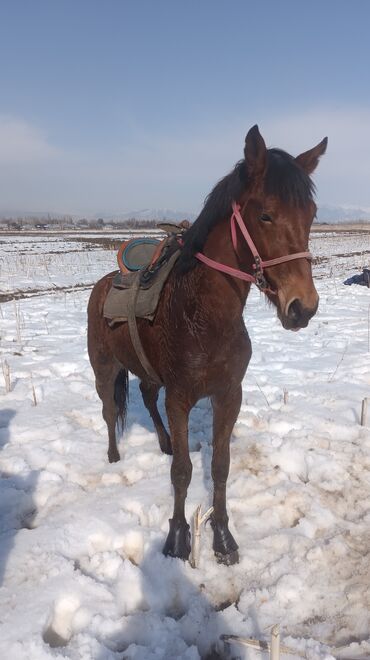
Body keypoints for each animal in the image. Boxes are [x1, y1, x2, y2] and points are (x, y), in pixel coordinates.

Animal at [88, 126, 328, 564]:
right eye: (264, 214)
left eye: (312, 215)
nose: (302, 307)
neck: (205, 317)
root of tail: (102, 285)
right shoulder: (180, 397)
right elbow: (182, 472)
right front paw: (177, 538)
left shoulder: (228, 394)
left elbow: (220, 466)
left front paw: (223, 537)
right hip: (104, 367)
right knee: (109, 409)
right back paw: (114, 456)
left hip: (149, 374)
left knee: (146, 396)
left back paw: (163, 442)